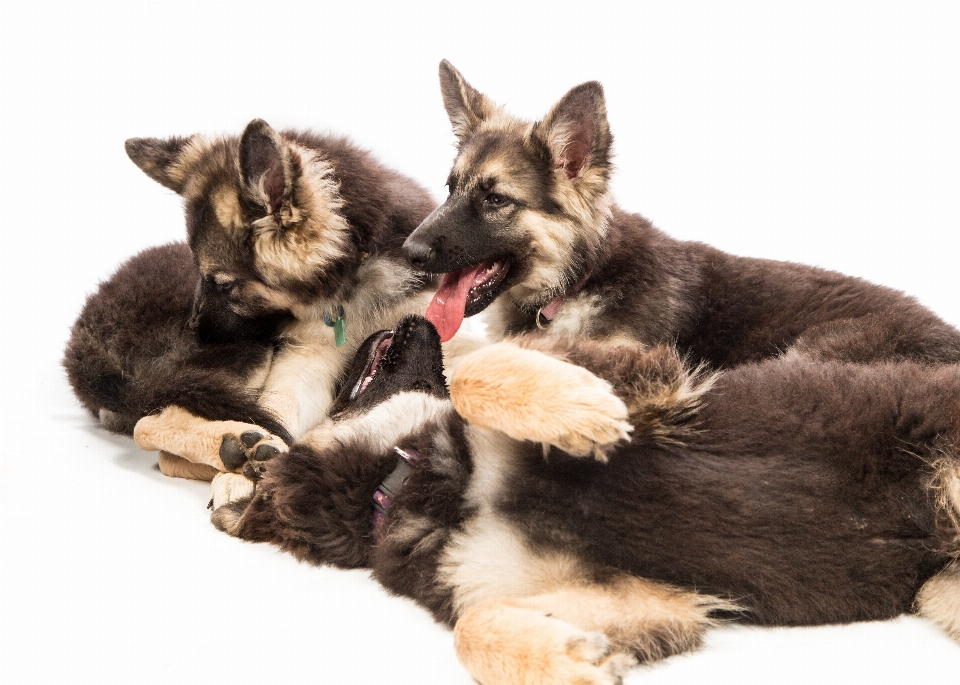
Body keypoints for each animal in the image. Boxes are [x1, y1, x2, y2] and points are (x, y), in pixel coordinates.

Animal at [210, 316, 960, 684]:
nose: (415, 314)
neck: (415, 482)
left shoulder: (637, 374)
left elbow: (481, 374)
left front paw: (578, 409)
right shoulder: (644, 595)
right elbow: (472, 627)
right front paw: (574, 659)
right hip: (940, 592)